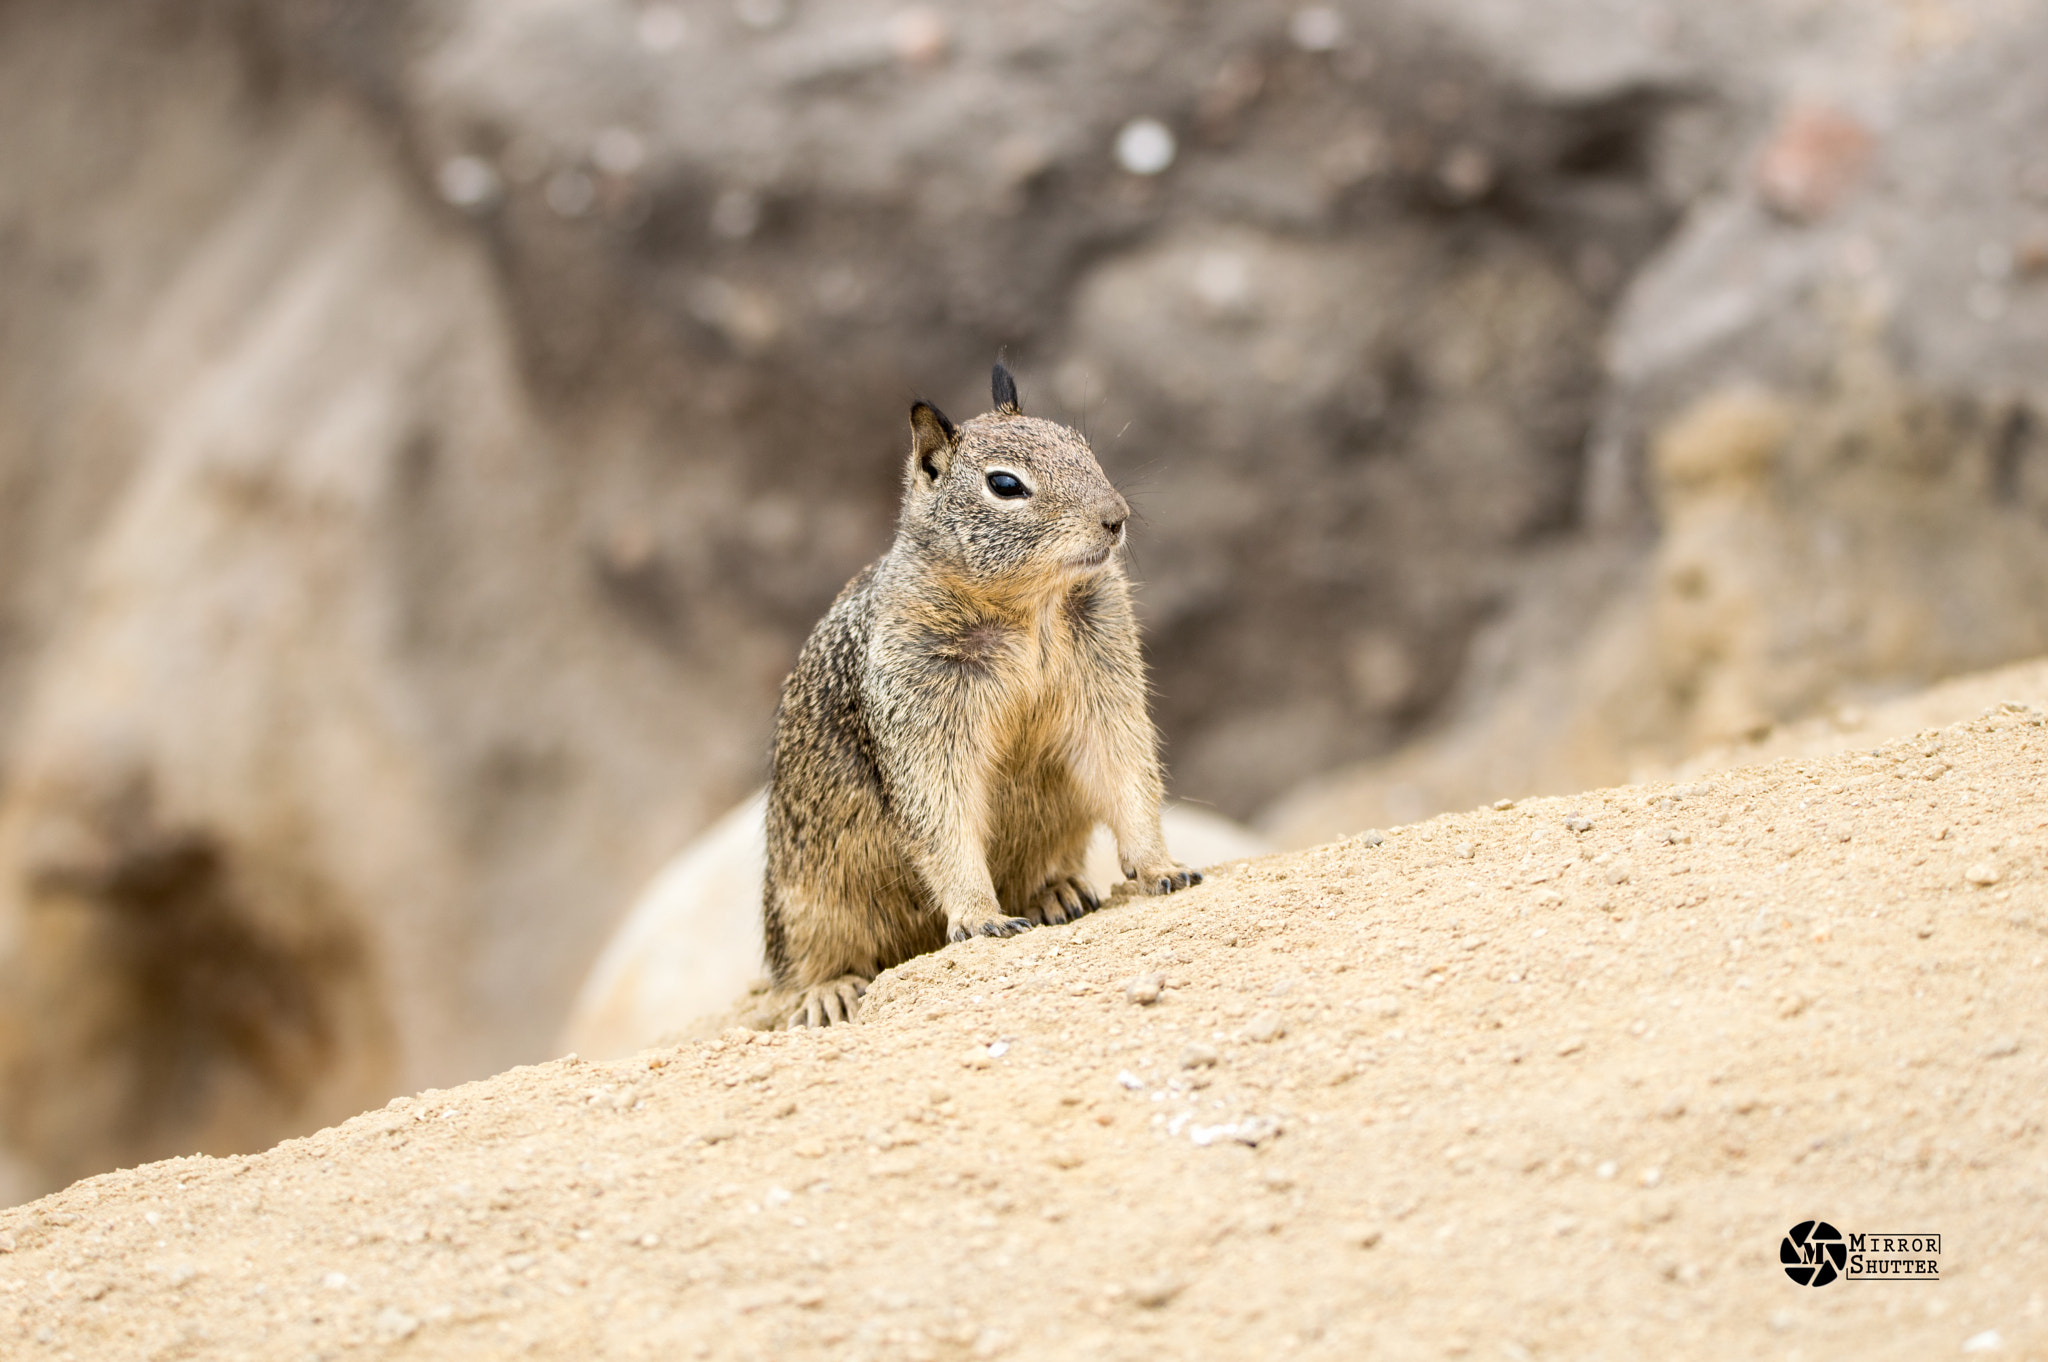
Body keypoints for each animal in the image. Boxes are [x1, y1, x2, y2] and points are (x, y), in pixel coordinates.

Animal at [762, 363, 1201, 1027]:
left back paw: (1056, 892)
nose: (1116, 516)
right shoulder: (918, 704)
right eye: (1004, 484)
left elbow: (1126, 769)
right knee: (802, 968)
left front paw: (1161, 866)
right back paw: (827, 991)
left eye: (1084, 447)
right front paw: (980, 916)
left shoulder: (1107, 674)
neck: (1029, 609)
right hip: (806, 903)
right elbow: (941, 817)